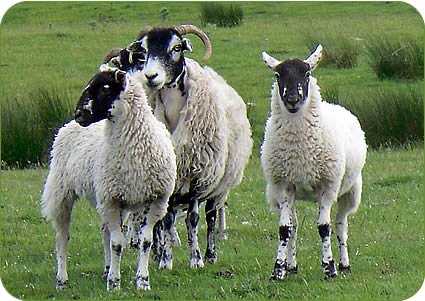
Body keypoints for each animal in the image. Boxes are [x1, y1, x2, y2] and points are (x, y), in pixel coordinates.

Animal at [40, 64, 176, 290]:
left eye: (105, 88)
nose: (79, 114)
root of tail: (66, 126)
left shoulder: (155, 200)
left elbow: (144, 242)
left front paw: (142, 281)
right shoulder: (112, 200)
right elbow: (117, 243)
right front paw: (114, 282)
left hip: (104, 197)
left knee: (105, 232)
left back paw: (105, 269)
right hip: (62, 191)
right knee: (62, 237)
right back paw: (62, 280)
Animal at [126, 24, 252, 268]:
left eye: (176, 48)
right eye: (144, 50)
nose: (151, 76)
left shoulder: (197, 175)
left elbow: (193, 219)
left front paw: (196, 259)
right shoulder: (168, 178)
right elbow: (166, 220)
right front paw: (165, 260)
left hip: (217, 183)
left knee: (211, 216)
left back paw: (211, 254)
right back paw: (158, 252)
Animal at [260, 44, 366, 278]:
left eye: (307, 74)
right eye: (277, 75)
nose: (292, 100)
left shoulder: (328, 185)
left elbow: (324, 227)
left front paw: (329, 267)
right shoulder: (283, 185)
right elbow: (285, 229)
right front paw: (278, 270)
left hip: (350, 190)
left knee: (341, 224)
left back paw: (344, 264)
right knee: (294, 226)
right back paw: (291, 266)